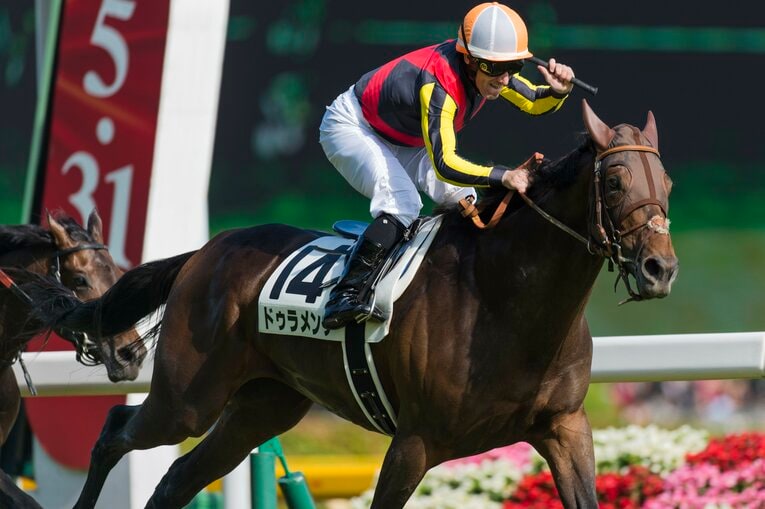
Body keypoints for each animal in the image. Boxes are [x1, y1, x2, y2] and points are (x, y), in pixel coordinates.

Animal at [16, 100, 677, 508]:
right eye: (614, 182)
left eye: (666, 185)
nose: (660, 268)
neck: (507, 302)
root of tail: (205, 250)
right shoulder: (415, 441)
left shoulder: (565, 427)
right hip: (187, 398)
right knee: (115, 430)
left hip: (264, 406)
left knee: (177, 478)